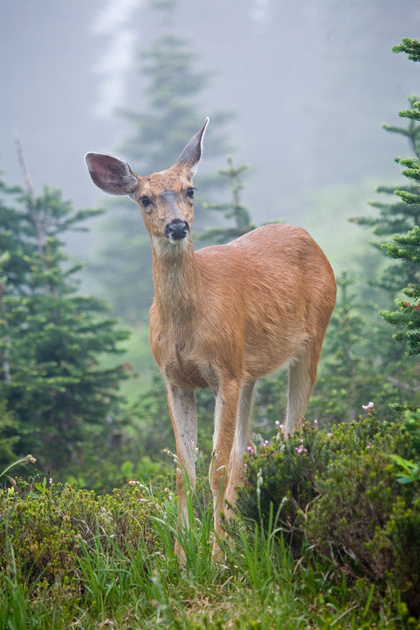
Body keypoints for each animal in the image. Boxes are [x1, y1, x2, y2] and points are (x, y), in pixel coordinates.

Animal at [85, 118, 338, 556]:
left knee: (291, 433)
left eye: (191, 190)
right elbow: (182, 472)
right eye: (145, 199)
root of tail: (310, 239)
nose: (177, 226)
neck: (188, 323)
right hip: (248, 368)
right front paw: (182, 555)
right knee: (244, 449)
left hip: (311, 339)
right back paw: (240, 529)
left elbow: (214, 468)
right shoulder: (175, 380)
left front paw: (217, 555)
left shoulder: (224, 373)